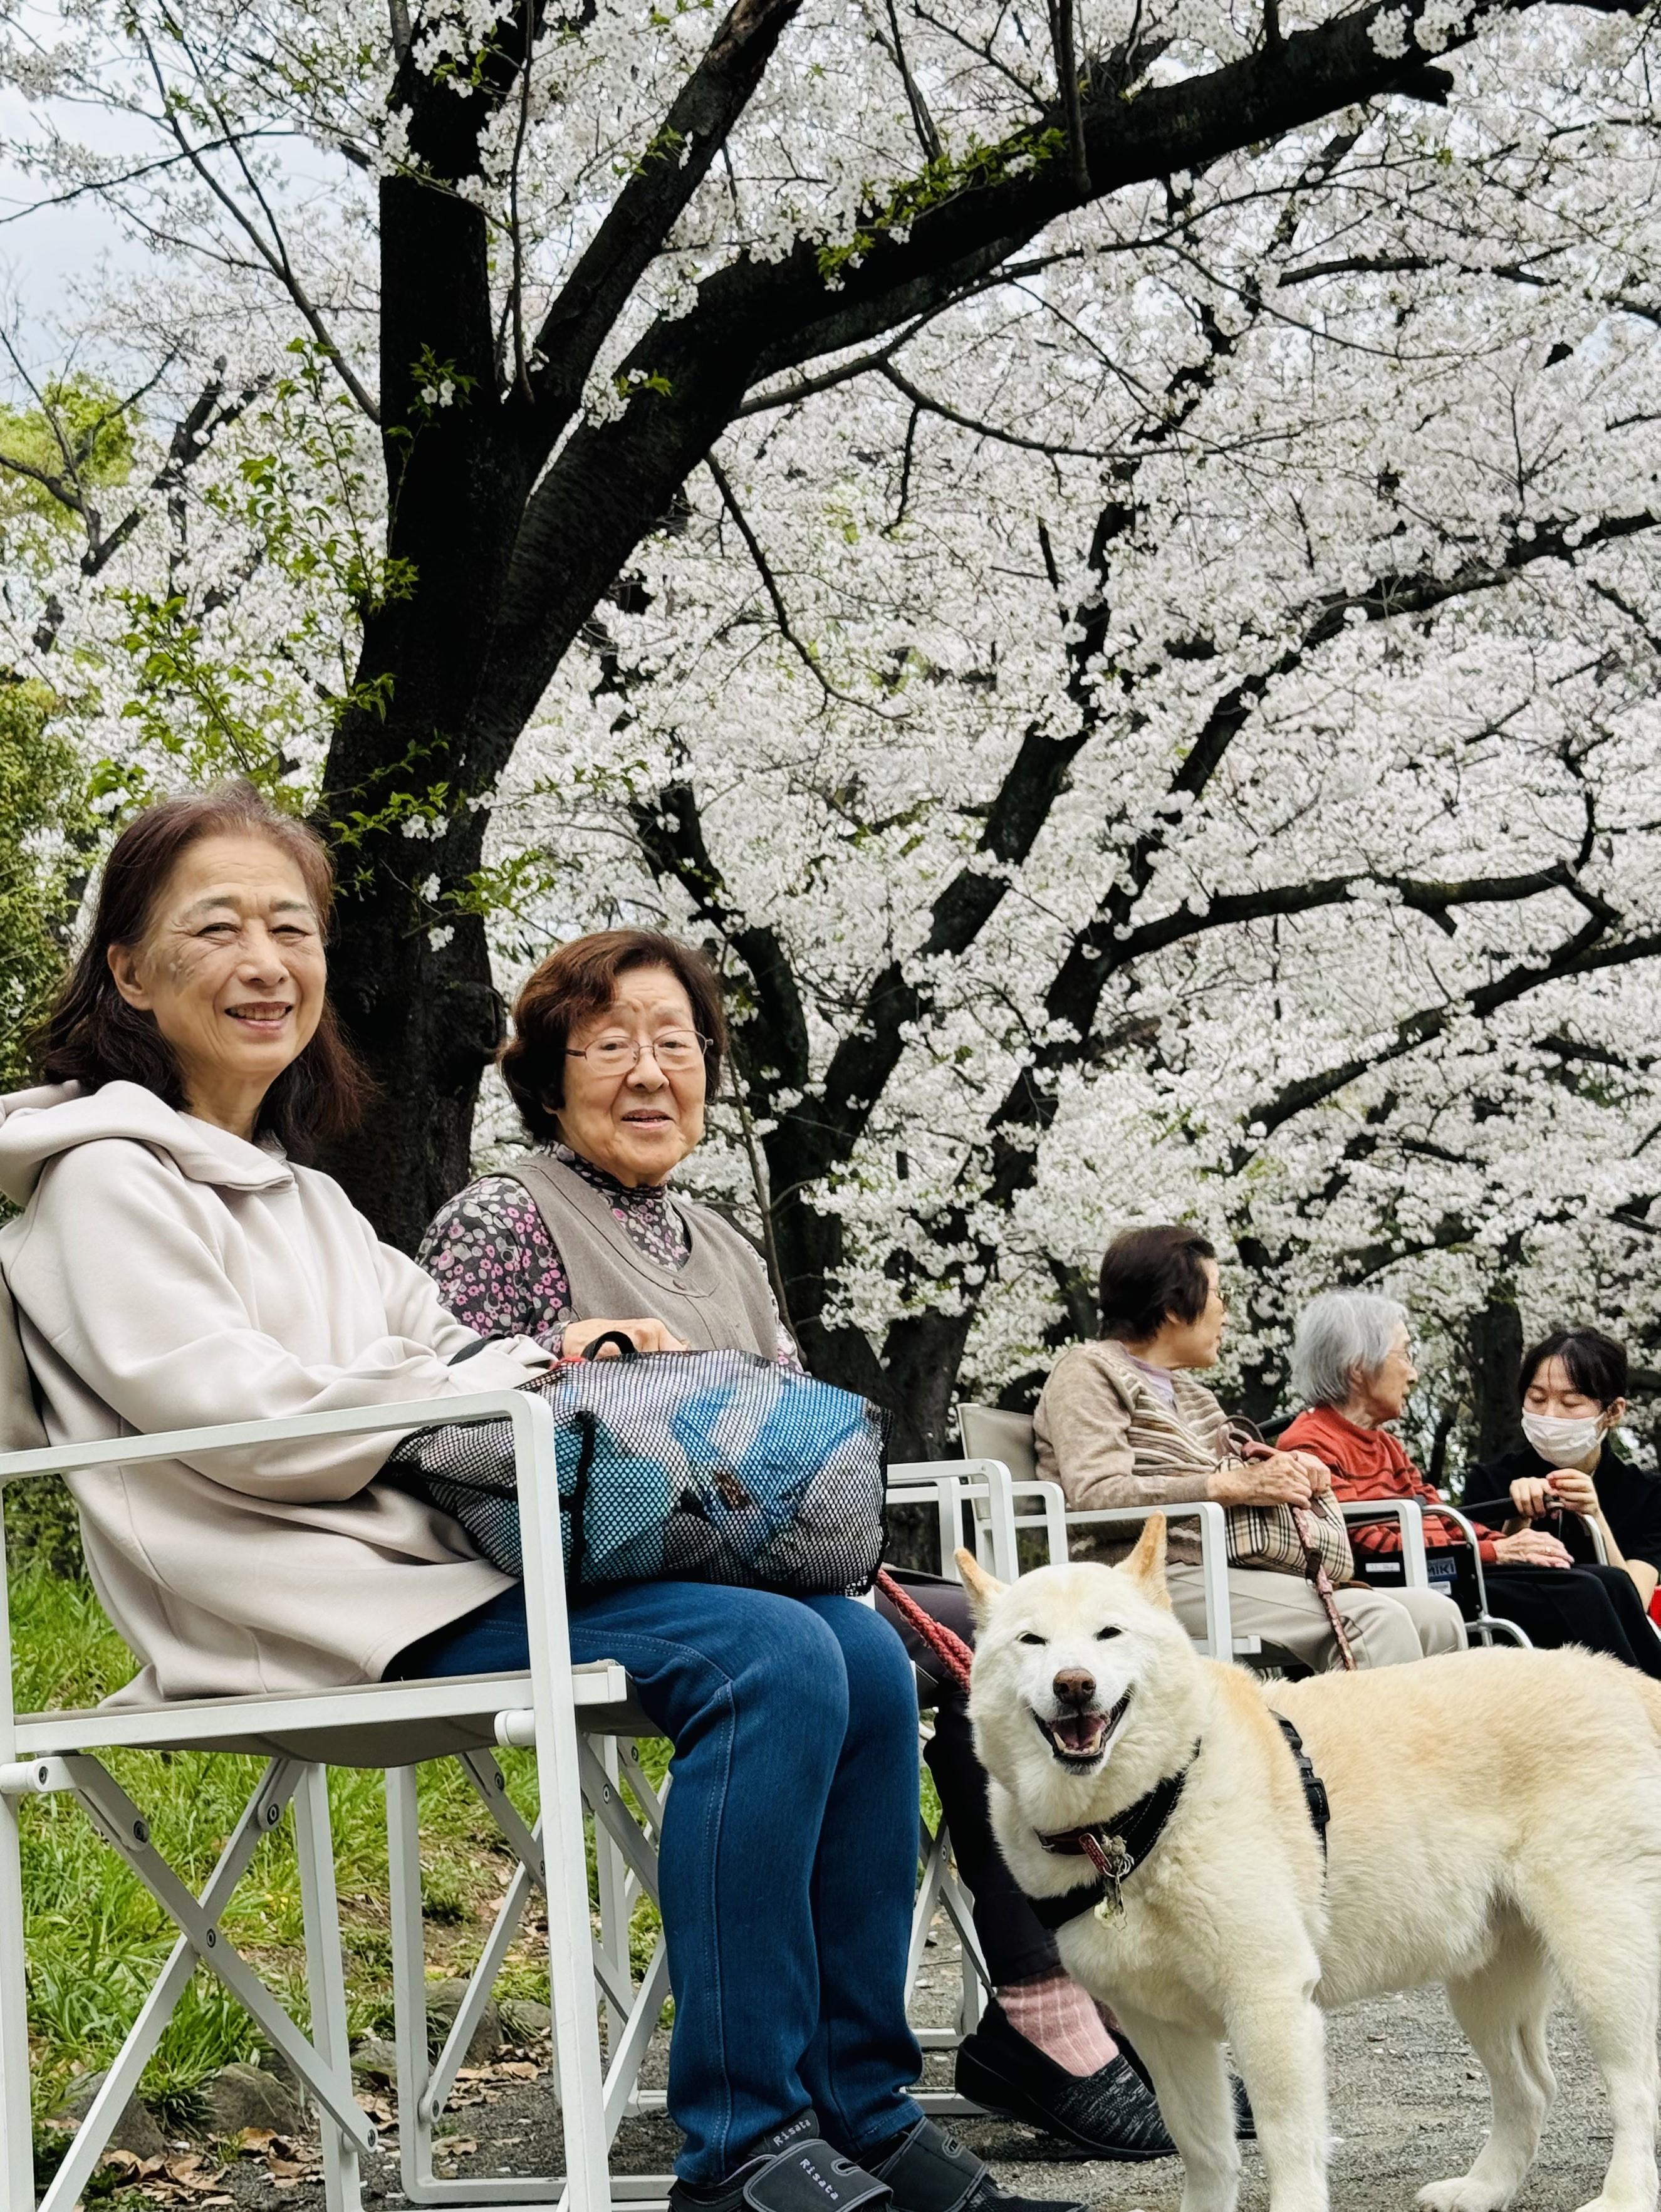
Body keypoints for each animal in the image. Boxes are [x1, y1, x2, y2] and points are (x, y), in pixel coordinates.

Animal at [955, 1513, 1661, 2212]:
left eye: (1109, 1631)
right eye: (1030, 1640)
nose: (1073, 1684)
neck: (1142, 1812)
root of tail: (1615, 1676)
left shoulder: (1268, 2001)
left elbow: (1286, 2143)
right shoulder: (1159, 2026)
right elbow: (1202, 2146)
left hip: (1599, 1957)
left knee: (1635, 2088)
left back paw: (1622, 2194)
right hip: (1484, 1977)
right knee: (1531, 2088)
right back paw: (1482, 2188)